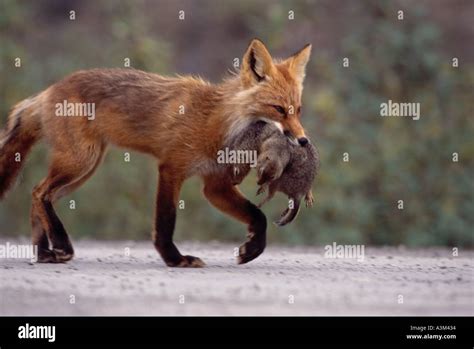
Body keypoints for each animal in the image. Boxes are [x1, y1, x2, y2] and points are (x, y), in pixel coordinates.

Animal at [0, 38, 312, 266]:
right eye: (278, 109)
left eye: (297, 110)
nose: (303, 141)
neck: (215, 121)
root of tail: (48, 90)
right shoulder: (172, 167)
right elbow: (166, 220)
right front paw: (175, 259)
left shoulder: (215, 185)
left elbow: (258, 217)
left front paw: (252, 250)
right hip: (78, 162)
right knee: (40, 192)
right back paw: (59, 246)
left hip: (84, 170)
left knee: (39, 197)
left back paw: (44, 253)